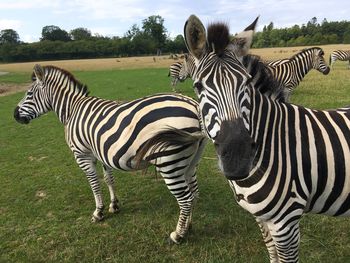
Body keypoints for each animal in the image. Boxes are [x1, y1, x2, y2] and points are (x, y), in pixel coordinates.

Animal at [14, 64, 208, 245]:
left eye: (29, 94)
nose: (14, 115)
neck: (72, 110)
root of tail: (194, 105)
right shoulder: (102, 152)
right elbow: (109, 179)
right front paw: (114, 205)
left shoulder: (83, 155)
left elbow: (94, 184)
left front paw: (98, 212)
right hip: (190, 162)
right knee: (194, 193)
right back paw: (188, 227)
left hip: (169, 163)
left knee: (185, 199)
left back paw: (178, 235)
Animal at [182, 15, 350, 262]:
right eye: (198, 86)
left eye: (246, 82)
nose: (238, 159)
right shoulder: (263, 218)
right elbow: (272, 253)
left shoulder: (286, 222)